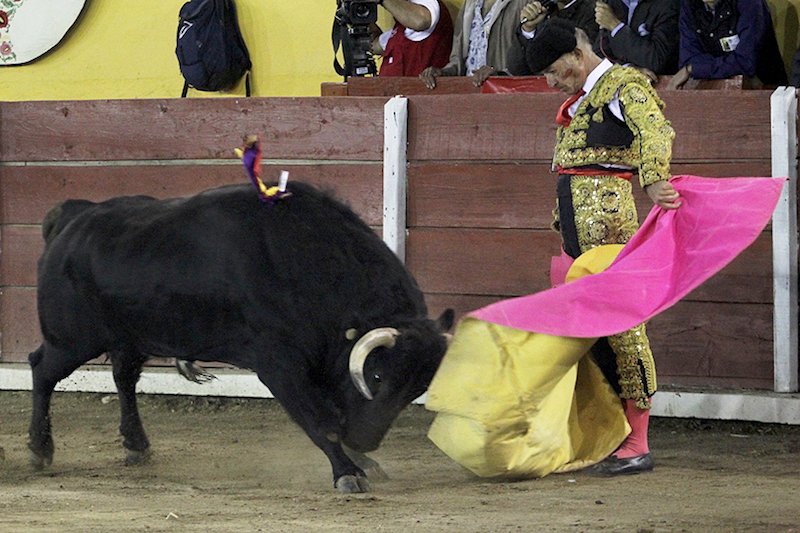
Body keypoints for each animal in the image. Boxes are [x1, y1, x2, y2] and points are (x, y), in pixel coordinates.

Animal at [27, 182, 454, 493]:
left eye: (417, 389)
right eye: (378, 376)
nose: (367, 440)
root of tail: (74, 217)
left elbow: (334, 412)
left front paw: (360, 459)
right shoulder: (280, 366)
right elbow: (321, 419)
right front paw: (348, 471)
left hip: (129, 337)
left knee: (124, 378)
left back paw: (137, 446)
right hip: (71, 340)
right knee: (42, 370)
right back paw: (40, 450)